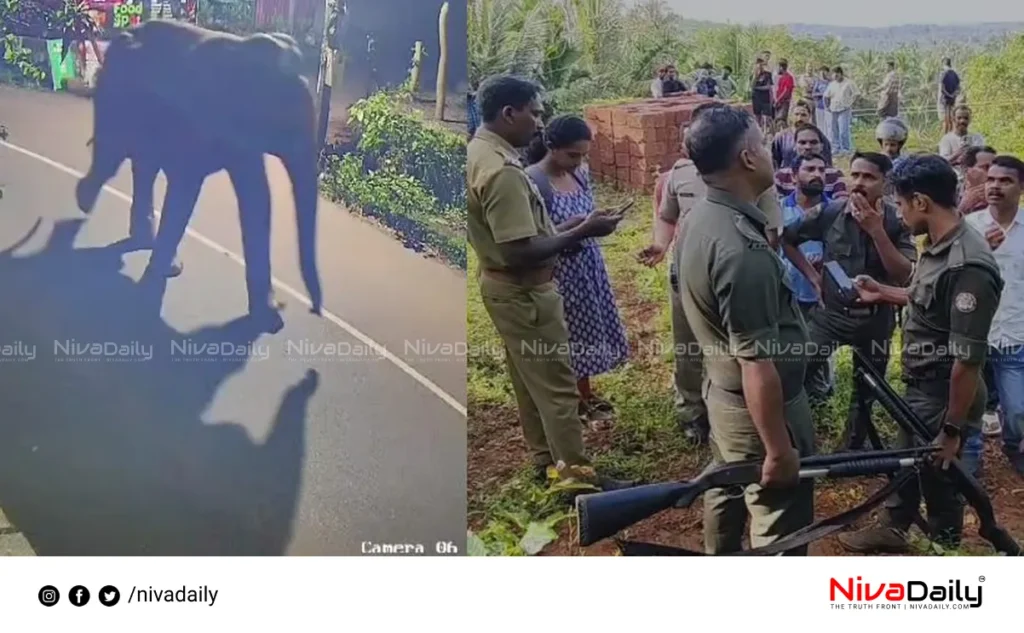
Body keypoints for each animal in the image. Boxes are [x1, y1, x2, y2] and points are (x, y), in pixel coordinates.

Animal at [74, 19, 323, 331]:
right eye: (287, 124)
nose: (313, 309)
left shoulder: (241, 137)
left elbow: (257, 200)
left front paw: (269, 319)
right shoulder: (199, 119)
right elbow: (186, 188)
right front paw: (149, 293)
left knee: (143, 165)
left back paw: (150, 245)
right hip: (116, 93)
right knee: (113, 154)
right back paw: (85, 201)